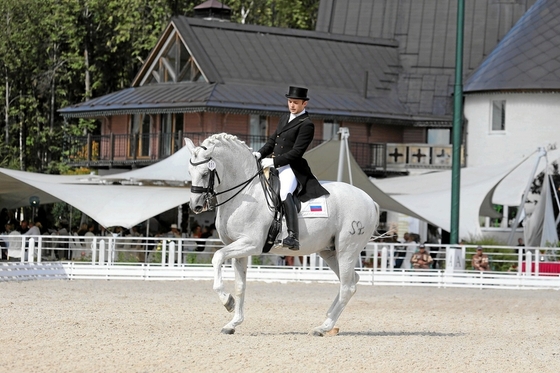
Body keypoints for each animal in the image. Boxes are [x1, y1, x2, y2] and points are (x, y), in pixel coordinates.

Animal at [186, 133, 378, 334]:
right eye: (190, 172)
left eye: (205, 173)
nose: (195, 206)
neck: (246, 192)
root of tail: (370, 200)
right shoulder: (238, 248)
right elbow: (240, 286)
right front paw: (233, 323)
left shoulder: (250, 244)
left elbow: (216, 257)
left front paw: (227, 301)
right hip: (329, 251)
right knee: (349, 282)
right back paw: (326, 322)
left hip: (347, 250)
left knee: (347, 286)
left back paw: (324, 326)